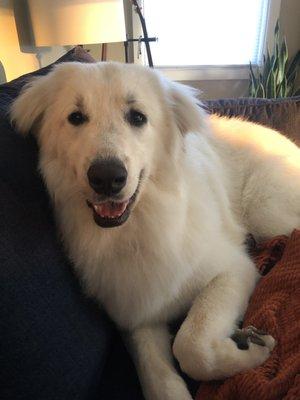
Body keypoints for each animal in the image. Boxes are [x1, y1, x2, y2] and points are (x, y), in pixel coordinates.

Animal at [10, 62, 298, 400]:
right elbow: (159, 379)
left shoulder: (233, 270)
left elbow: (191, 346)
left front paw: (251, 349)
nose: (107, 178)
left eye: (137, 117)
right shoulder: (138, 315)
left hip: (268, 214)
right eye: (76, 117)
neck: (139, 227)